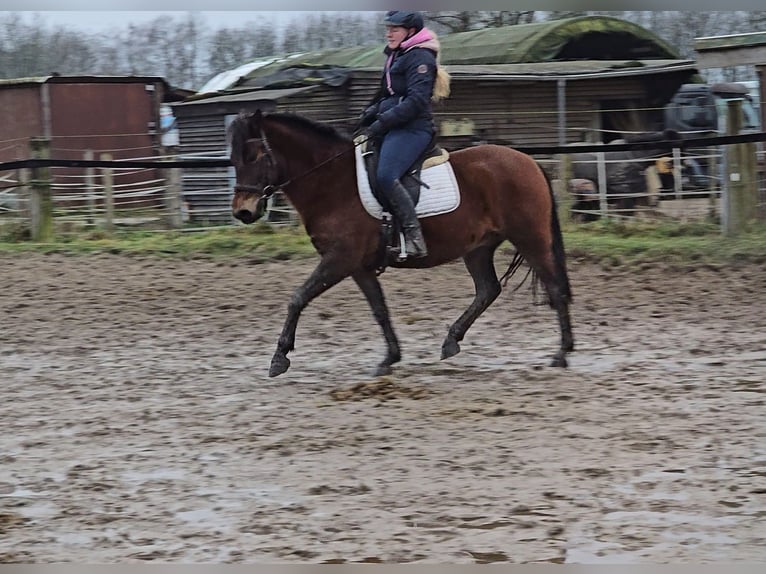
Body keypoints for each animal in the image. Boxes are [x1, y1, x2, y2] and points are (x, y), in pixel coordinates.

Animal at [230, 110, 576, 380]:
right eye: (233, 159)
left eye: (257, 157)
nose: (243, 212)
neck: (331, 182)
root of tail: (528, 161)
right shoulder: (357, 266)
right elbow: (380, 309)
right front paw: (390, 358)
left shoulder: (339, 259)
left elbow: (298, 297)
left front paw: (280, 358)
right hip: (478, 248)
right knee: (488, 290)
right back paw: (451, 341)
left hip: (530, 237)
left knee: (554, 286)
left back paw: (561, 353)